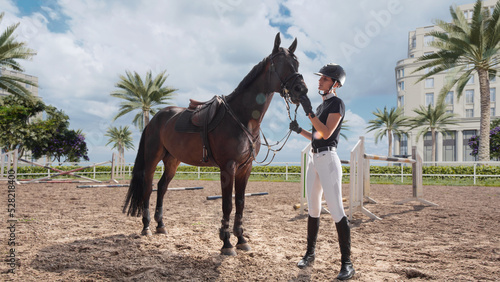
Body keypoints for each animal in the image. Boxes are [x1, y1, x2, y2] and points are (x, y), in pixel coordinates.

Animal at [123, 33, 306, 256]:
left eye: (297, 63)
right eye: (280, 64)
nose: (301, 90)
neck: (242, 117)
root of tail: (155, 119)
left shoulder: (245, 168)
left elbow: (240, 203)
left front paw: (241, 239)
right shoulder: (228, 167)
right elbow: (227, 204)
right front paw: (226, 243)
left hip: (172, 161)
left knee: (162, 187)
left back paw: (161, 225)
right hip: (152, 158)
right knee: (149, 188)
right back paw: (147, 226)